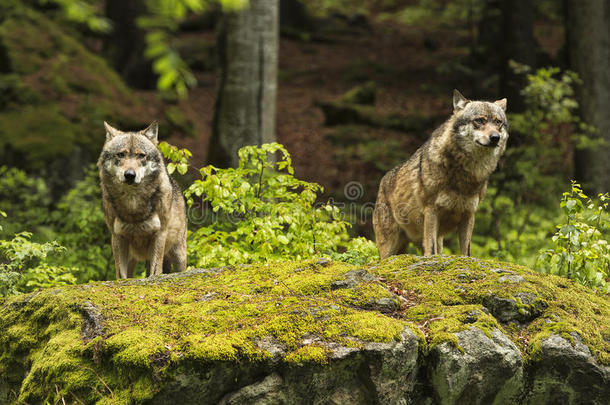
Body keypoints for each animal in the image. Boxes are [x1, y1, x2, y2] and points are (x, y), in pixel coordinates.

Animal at [97, 120, 186, 278]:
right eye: (121, 154)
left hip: (178, 254)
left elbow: (155, 271)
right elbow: (121, 275)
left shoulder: (159, 234)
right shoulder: (117, 237)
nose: (130, 175)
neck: (133, 203)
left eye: (141, 156)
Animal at [372, 90, 506, 258]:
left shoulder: (469, 214)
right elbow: (431, 250)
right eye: (480, 121)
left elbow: (466, 252)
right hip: (389, 248)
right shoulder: (431, 211)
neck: (465, 174)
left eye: (498, 122)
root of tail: (382, 181)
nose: (495, 137)